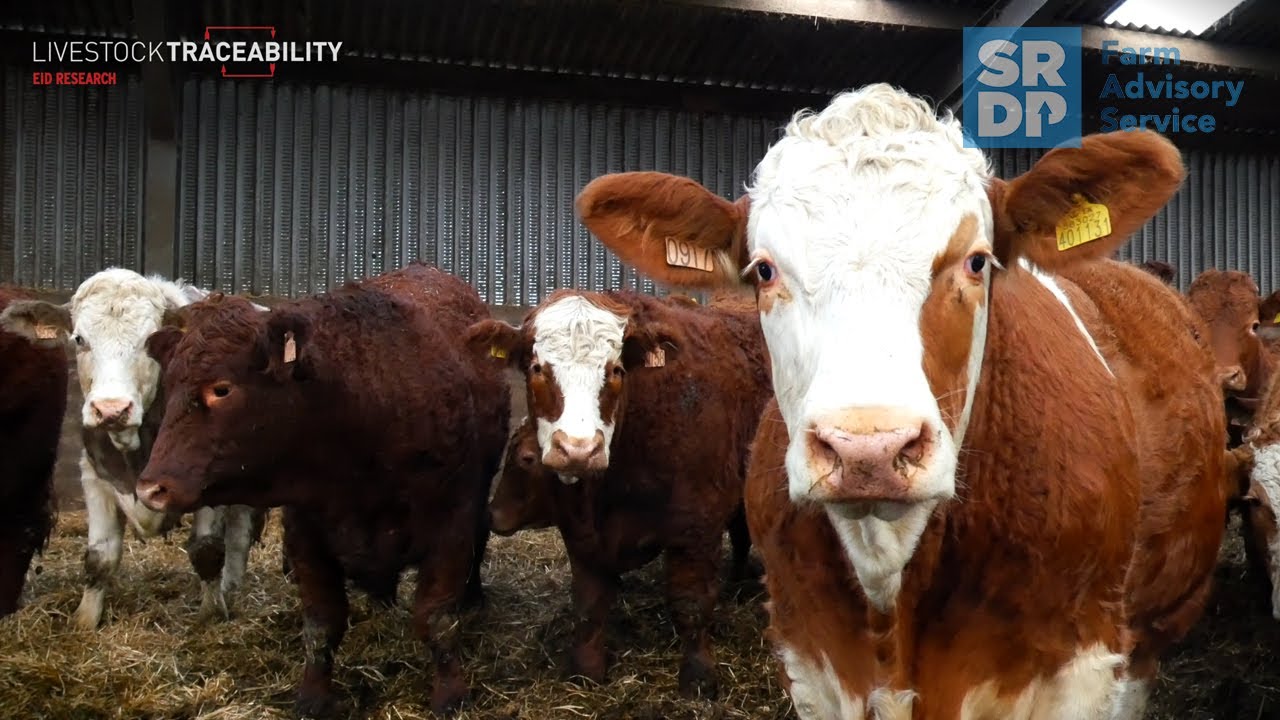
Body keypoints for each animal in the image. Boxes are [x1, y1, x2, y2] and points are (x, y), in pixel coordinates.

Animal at [0, 268, 265, 628]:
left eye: (150, 340)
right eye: (79, 339)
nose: (111, 409)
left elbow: (207, 550)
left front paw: (212, 614)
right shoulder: (95, 476)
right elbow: (99, 558)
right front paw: (85, 622)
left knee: (238, 535)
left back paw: (232, 589)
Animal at [133, 262, 510, 717]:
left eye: (221, 388)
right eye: (169, 387)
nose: (151, 488)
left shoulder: (451, 525)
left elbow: (436, 618)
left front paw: (450, 694)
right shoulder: (305, 531)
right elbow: (321, 623)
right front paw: (313, 696)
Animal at [466, 288, 771, 698]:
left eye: (616, 371)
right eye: (536, 368)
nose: (578, 450)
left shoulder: (697, 522)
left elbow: (691, 602)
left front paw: (698, 677)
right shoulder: (580, 529)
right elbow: (590, 602)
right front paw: (586, 670)